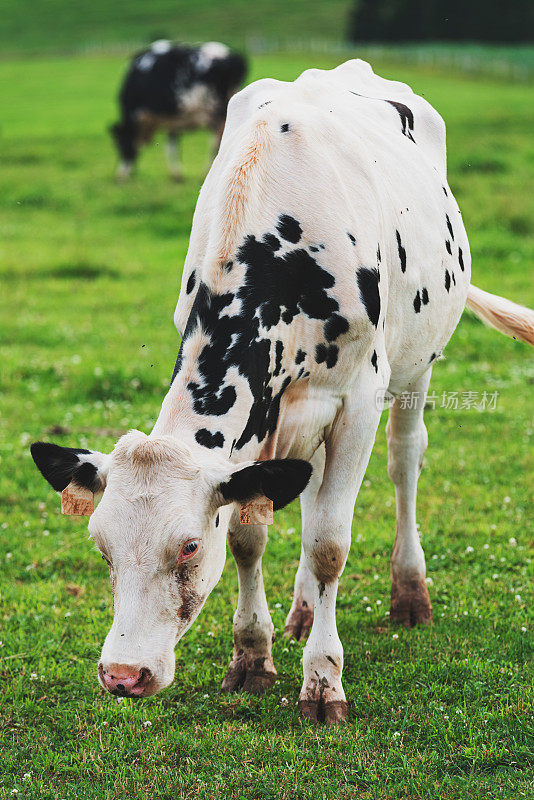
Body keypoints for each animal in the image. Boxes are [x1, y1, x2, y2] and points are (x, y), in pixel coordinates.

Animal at [31, 61, 532, 724]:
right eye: (102, 546)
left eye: (188, 547)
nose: (122, 675)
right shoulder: (259, 427)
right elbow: (250, 532)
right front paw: (252, 657)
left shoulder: (357, 401)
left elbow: (328, 543)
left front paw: (323, 682)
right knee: (312, 486)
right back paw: (302, 611)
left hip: (417, 365)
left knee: (404, 463)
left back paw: (409, 594)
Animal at [112, 40, 250, 180]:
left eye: (121, 144)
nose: (120, 176)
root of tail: (234, 57)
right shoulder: (173, 119)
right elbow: (173, 145)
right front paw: (177, 173)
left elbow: (171, 146)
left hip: (217, 112)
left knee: (217, 143)